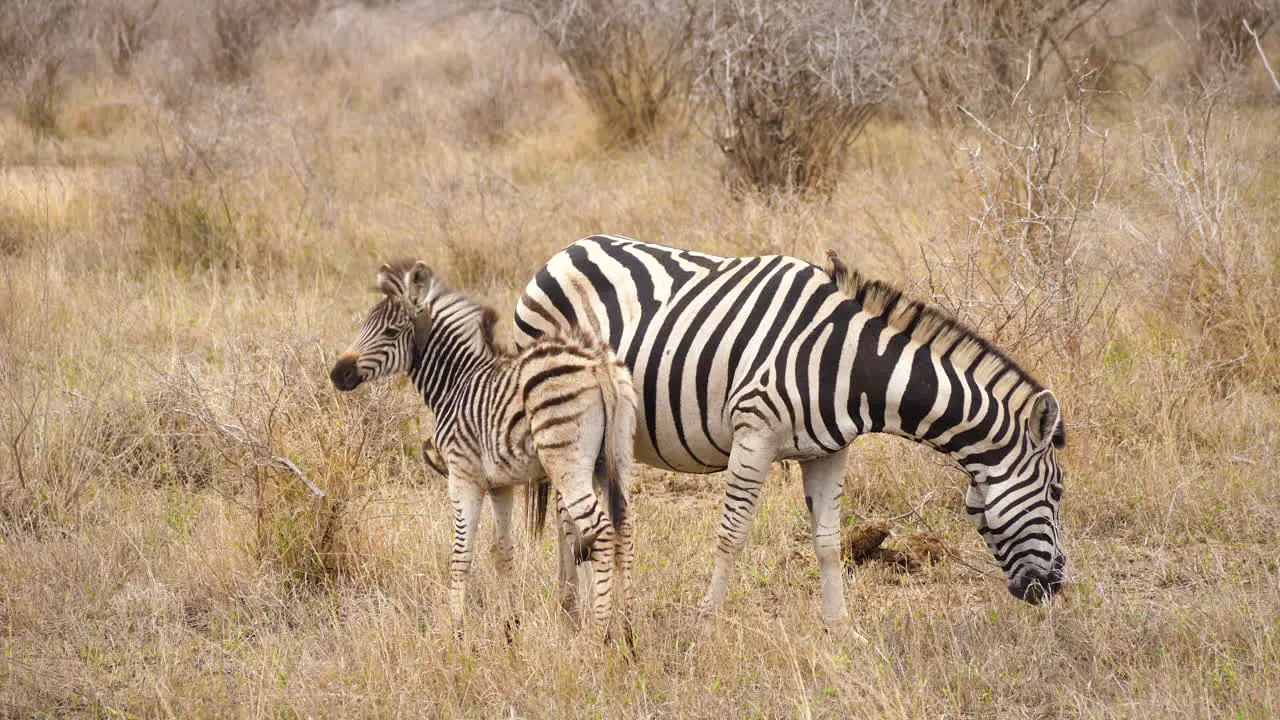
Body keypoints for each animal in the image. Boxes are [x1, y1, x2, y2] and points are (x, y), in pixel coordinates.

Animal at [327, 260, 632, 630]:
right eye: (363, 324)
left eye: (389, 332)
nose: (337, 374)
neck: (456, 383)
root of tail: (595, 364)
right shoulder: (500, 483)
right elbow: (502, 551)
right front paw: (512, 625)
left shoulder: (463, 475)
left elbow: (460, 554)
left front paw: (455, 628)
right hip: (615, 457)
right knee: (624, 529)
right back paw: (628, 628)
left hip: (568, 464)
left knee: (601, 533)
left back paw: (602, 632)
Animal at [514, 233, 1064, 620]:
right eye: (1057, 493)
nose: (1057, 588)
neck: (851, 364)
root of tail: (562, 253)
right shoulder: (753, 434)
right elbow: (731, 535)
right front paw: (707, 624)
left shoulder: (829, 450)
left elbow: (828, 541)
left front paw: (840, 630)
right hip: (561, 416)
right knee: (566, 514)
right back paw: (579, 610)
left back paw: (575, 608)